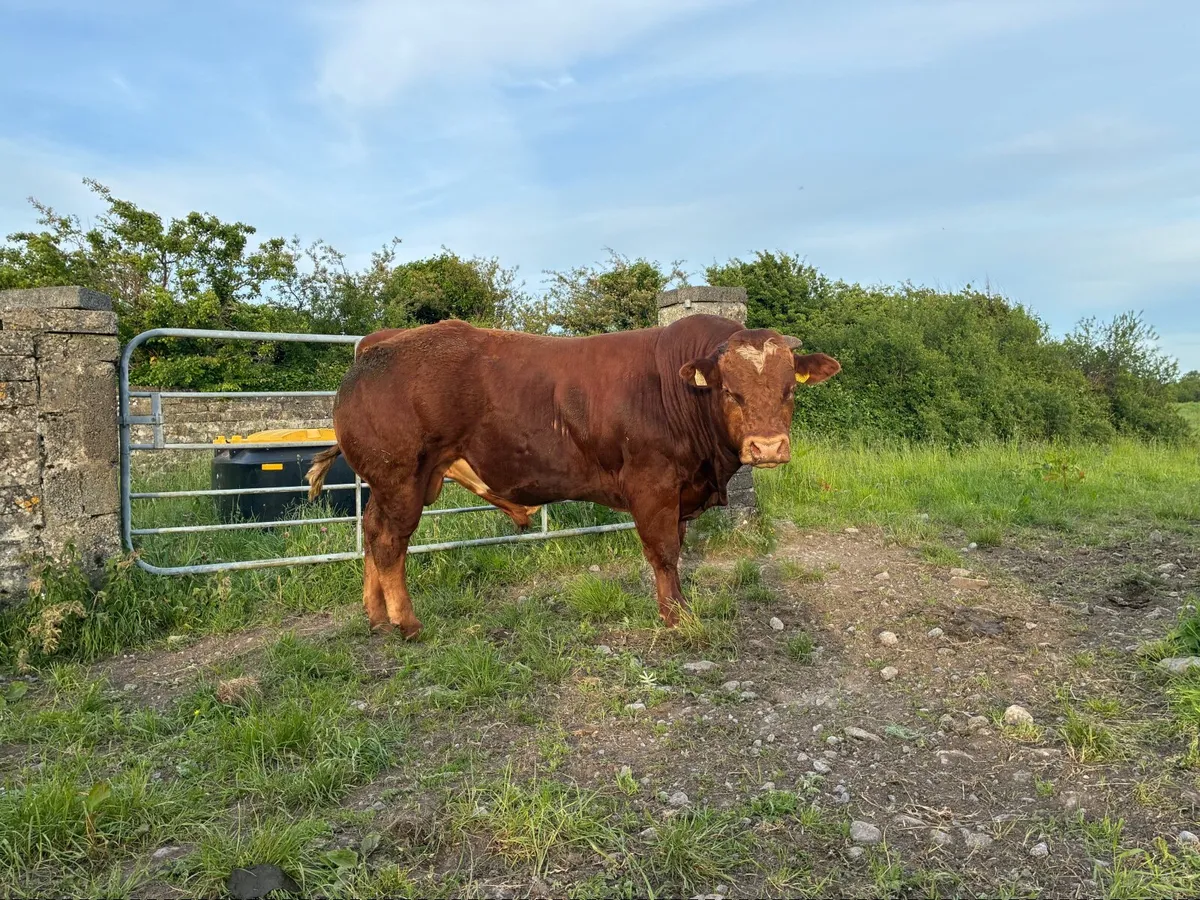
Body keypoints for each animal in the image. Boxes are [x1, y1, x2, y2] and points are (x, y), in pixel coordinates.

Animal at [306, 314, 840, 637]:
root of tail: (380, 342)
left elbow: (677, 551)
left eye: (790, 389)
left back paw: (377, 617)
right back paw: (407, 623)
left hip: (388, 484)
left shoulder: (681, 493)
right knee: (389, 542)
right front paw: (674, 617)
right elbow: (664, 554)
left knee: (371, 531)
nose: (767, 447)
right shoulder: (653, 485)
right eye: (731, 391)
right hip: (401, 478)